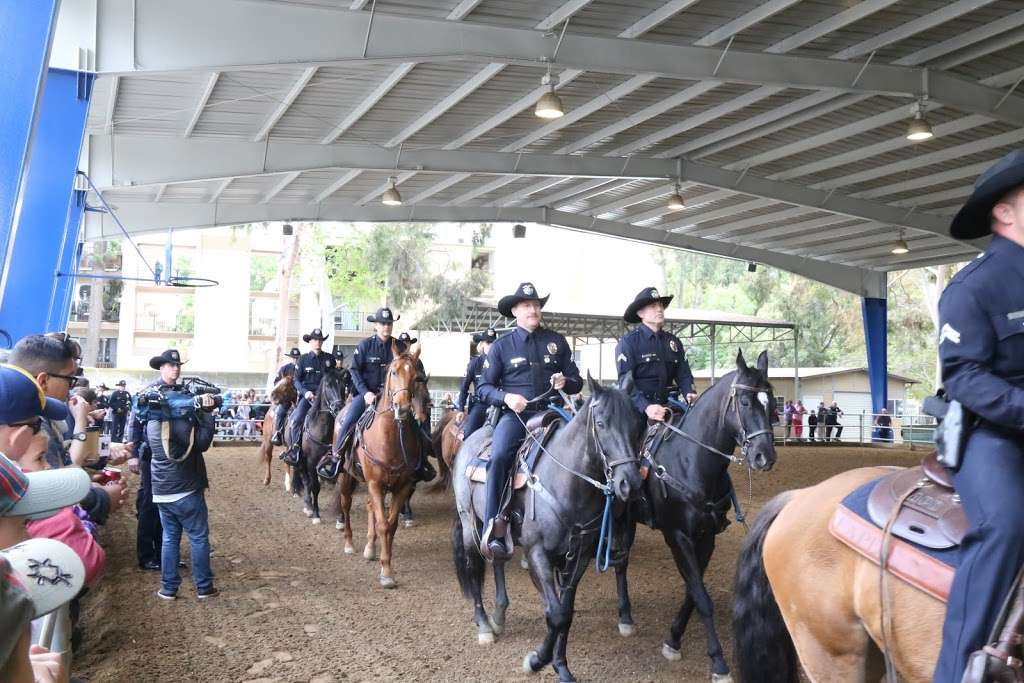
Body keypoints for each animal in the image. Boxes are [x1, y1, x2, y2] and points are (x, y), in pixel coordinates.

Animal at [290, 368, 350, 524]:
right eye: (328, 385)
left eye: (343, 386)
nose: (338, 407)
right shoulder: (311, 461)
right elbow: (314, 486)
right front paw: (316, 514)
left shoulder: (335, 463)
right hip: (300, 461)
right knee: (306, 481)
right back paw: (308, 506)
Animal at [331, 342, 419, 589]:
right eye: (394, 372)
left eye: (416, 376)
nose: (403, 408)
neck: (390, 439)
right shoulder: (375, 483)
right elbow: (383, 525)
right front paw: (386, 572)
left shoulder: (401, 486)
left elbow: (391, 524)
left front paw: (384, 562)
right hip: (347, 477)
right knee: (346, 504)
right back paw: (349, 543)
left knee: (371, 508)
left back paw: (370, 548)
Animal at [454, 376, 643, 683]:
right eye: (601, 423)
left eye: (638, 424)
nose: (631, 484)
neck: (567, 482)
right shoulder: (537, 553)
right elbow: (555, 613)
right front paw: (536, 660)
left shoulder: (578, 556)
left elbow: (565, 612)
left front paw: (561, 666)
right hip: (469, 522)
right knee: (473, 565)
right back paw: (484, 625)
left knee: (497, 560)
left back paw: (499, 614)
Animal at [606, 350, 774, 679]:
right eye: (745, 402)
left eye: (770, 401)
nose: (765, 456)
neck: (692, 461)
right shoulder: (677, 536)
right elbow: (702, 598)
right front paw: (718, 662)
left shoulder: (706, 537)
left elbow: (693, 593)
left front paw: (673, 639)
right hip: (621, 518)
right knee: (620, 560)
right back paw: (624, 617)